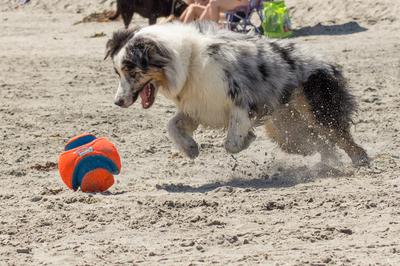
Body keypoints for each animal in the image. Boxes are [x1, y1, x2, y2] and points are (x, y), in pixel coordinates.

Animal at [105, 21, 368, 166]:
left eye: (132, 72)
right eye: (117, 72)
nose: (117, 102)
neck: (188, 63)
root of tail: (330, 63)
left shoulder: (241, 102)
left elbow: (231, 143)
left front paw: (247, 139)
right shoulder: (199, 105)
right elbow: (171, 125)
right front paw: (190, 148)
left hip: (319, 111)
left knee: (345, 141)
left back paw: (360, 162)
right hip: (286, 131)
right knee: (319, 145)